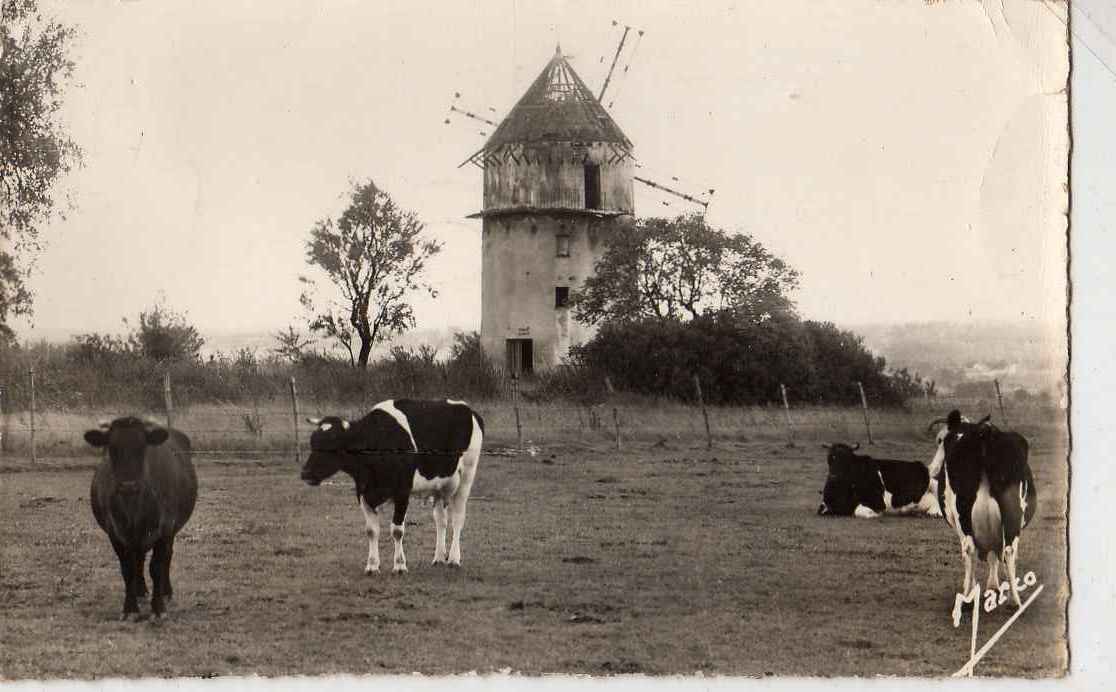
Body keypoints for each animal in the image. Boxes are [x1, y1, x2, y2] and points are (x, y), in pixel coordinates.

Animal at [84, 415, 196, 620]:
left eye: (142, 447)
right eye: (112, 449)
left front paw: (158, 608)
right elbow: (127, 569)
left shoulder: (165, 529)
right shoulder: (115, 532)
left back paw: (165, 592)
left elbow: (157, 567)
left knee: (166, 557)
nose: (128, 485)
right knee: (138, 559)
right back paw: (140, 591)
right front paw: (130, 608)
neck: (133, 507)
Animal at [301, 397, 484, 575]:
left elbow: (397, 530)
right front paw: (372, 566)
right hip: (439, 486)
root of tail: (469, 409)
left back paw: (453, 559)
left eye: (333, 444)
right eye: (312, 442)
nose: (305, 473)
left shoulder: (402, 491)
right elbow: (371, 530)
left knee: (458, 518)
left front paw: (400, 565)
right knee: (441, 520)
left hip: (467, 475)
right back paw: (439, 558)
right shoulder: (363, 492)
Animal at [924, 408, 1035, 625]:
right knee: (1008, 550)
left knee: (970, 548)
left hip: (962, 514)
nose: (932, 469)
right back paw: (1015, 602)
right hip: (1013, 512)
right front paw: (993, 588)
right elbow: (994, 554)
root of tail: (985, 432)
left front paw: (986, 587)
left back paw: (967, 598)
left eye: (940, 440)